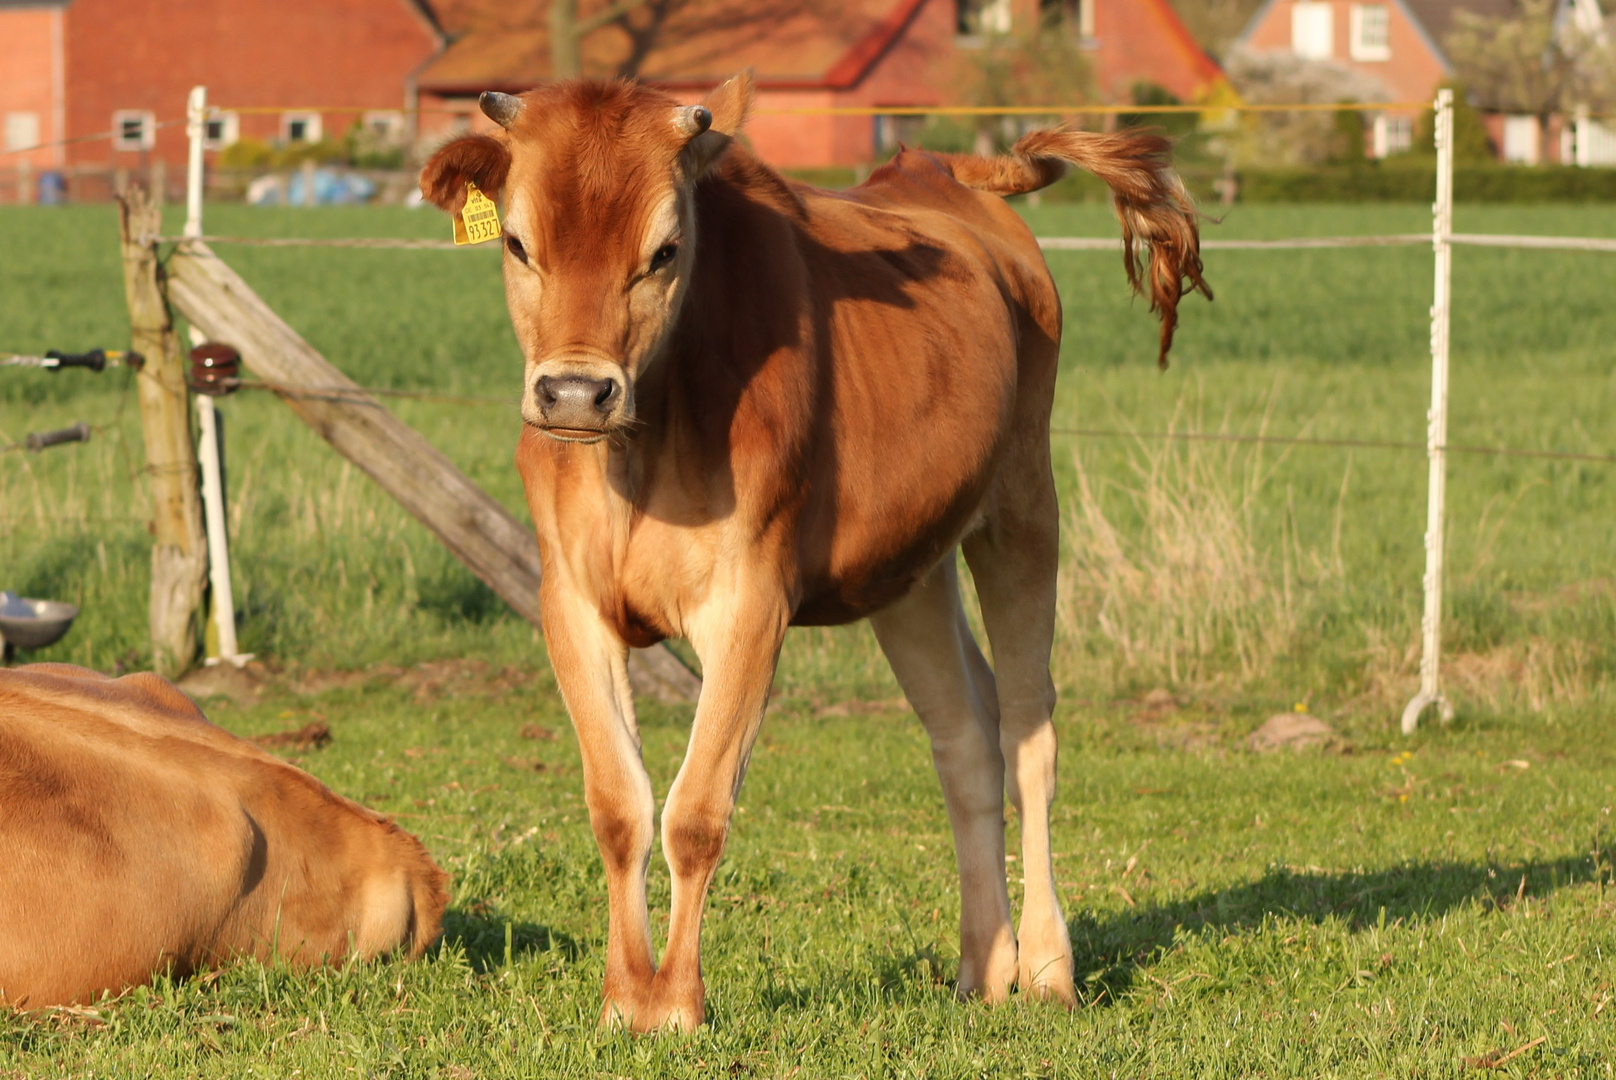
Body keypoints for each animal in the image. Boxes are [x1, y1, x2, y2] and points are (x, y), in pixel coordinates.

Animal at [423, 69, 1208, 1028]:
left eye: (666, 251)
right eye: (517, 242)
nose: (575, 393)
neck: (641, 450)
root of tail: (935, 168)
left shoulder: (752, 603)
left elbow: (696, 810)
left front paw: (676, 1004)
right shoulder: (569, 602)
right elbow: (619, 807)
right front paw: (622, 999)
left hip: (1024, 506)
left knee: (1029, 731)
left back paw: (1048, 967)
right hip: (909, 568)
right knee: (965, 735)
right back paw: (983, 966)